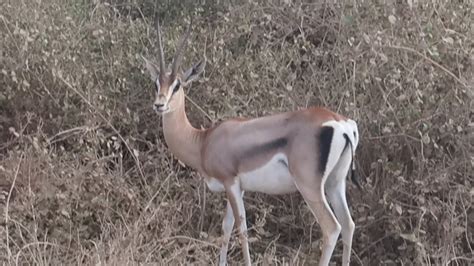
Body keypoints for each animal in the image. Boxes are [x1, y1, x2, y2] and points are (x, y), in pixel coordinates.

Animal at [143, 18, 362, 266]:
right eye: (156, 83)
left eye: (177, 84)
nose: (159, 104)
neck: (203, 141)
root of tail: (341, 123)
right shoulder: (237, 188)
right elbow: (226, 227)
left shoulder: (230, 183)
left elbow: (242, 229)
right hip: (336, 183)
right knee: (348, 224)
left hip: (310, 188)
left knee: (332, 228)